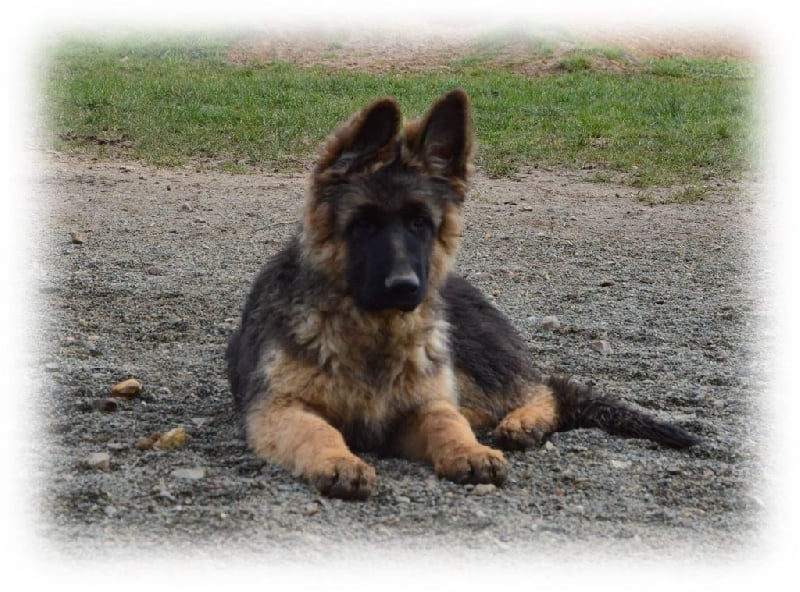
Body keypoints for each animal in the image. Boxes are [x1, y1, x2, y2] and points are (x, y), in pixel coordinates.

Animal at [227, 88, 700, 500]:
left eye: (420, 223)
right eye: (364, 225)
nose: (405, 287)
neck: (374, 332)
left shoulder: (422, 404)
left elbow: (443, 420)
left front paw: (469, 450)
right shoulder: (278, 408)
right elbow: (317, 430)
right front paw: (338, 461)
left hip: (471, 357)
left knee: (542, 389)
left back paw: (522, 421)